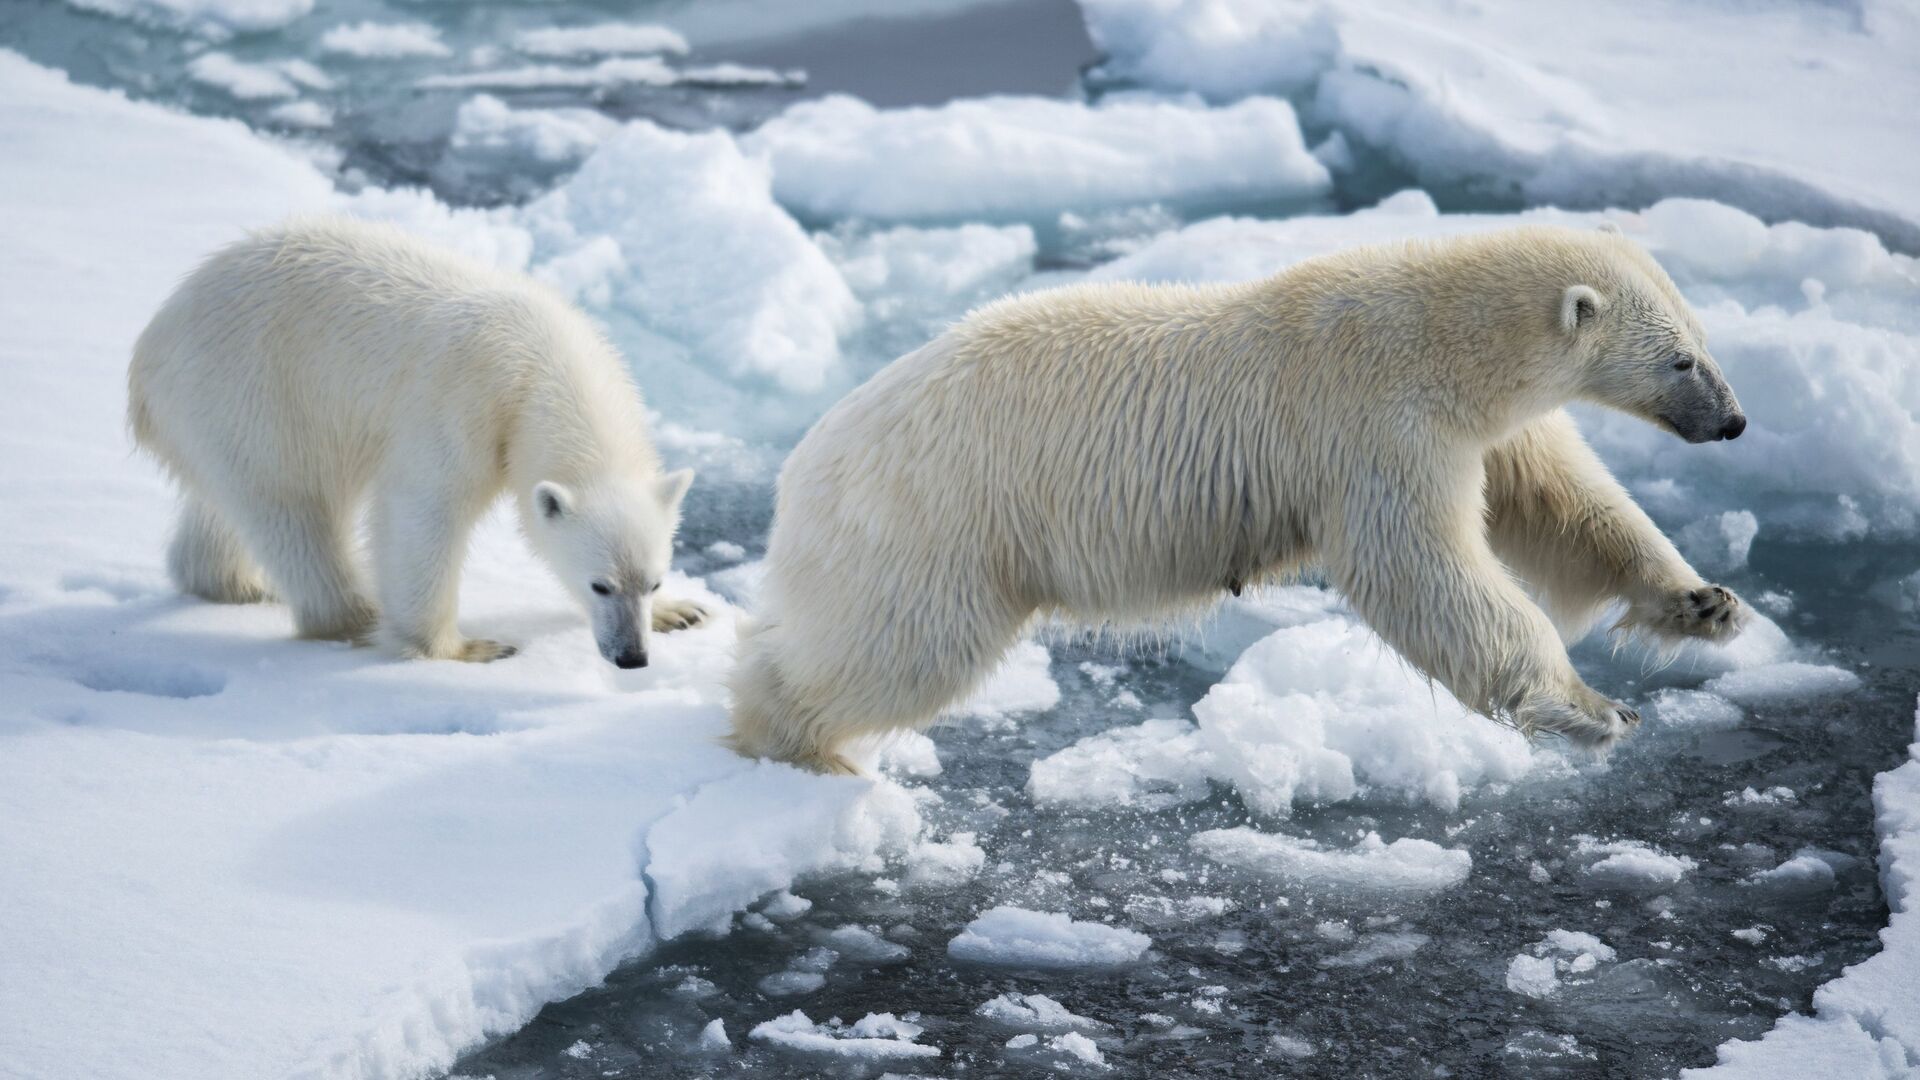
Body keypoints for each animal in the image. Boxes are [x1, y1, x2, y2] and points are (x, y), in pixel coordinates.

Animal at [733, 224, 1758, 772]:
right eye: (1681, 360)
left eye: (1705, 339)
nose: (1736, 421)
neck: (1439, 337)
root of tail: (804, 461)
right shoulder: (1373, 425)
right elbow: (1424, 571)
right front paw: (1593, 707)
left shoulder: (1483, 429)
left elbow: (1566, 507)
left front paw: (1705, 603)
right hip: (937, 519)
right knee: (901, 646)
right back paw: (792, 738)